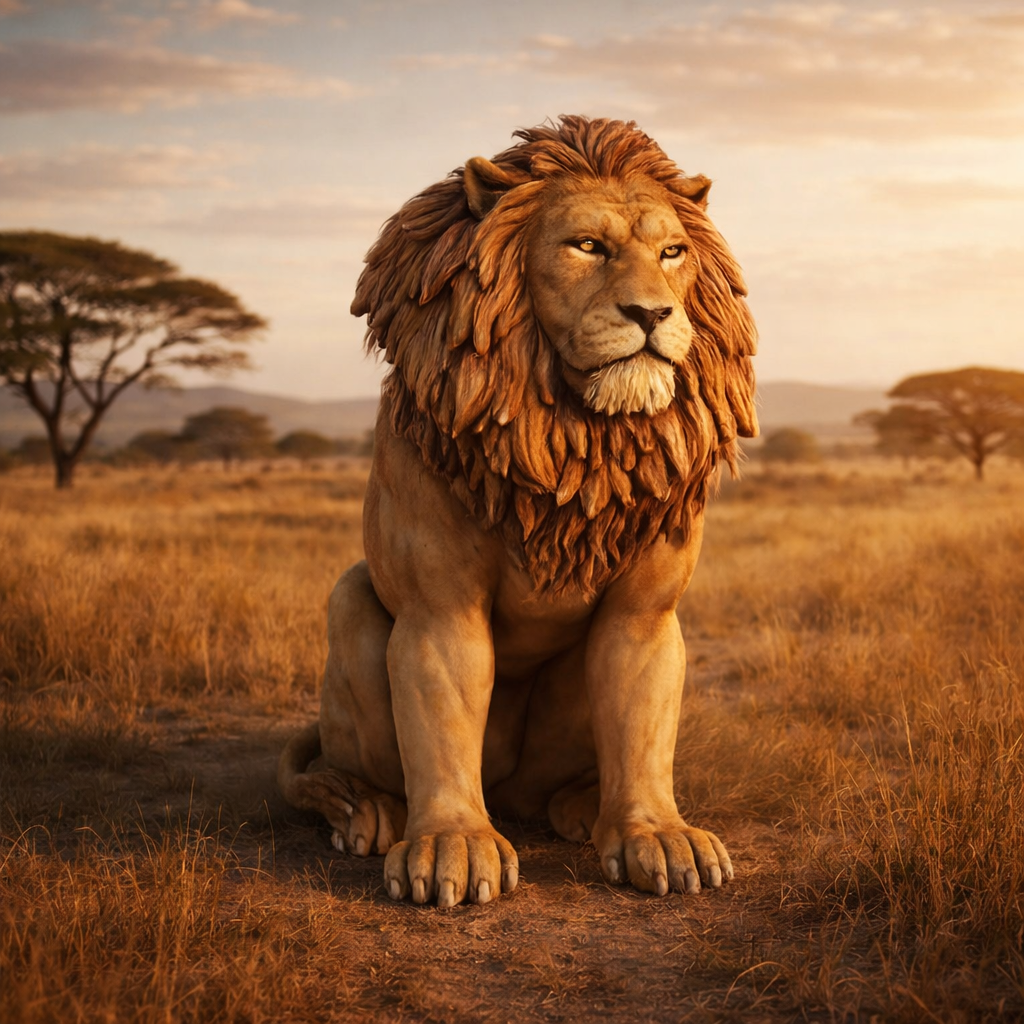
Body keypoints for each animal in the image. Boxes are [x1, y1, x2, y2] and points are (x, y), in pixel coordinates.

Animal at [278, 116, 757, 907]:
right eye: (587, 246)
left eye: (672, 253)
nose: (653, 313)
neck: (570, 436)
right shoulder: (438, 610)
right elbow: (441, 715)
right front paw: (452, 844)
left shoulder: (645, 613)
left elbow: (642, 719)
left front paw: (657, 834)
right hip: (349, 604)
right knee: (354, 754)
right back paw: (362, 808)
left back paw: (584, 808)